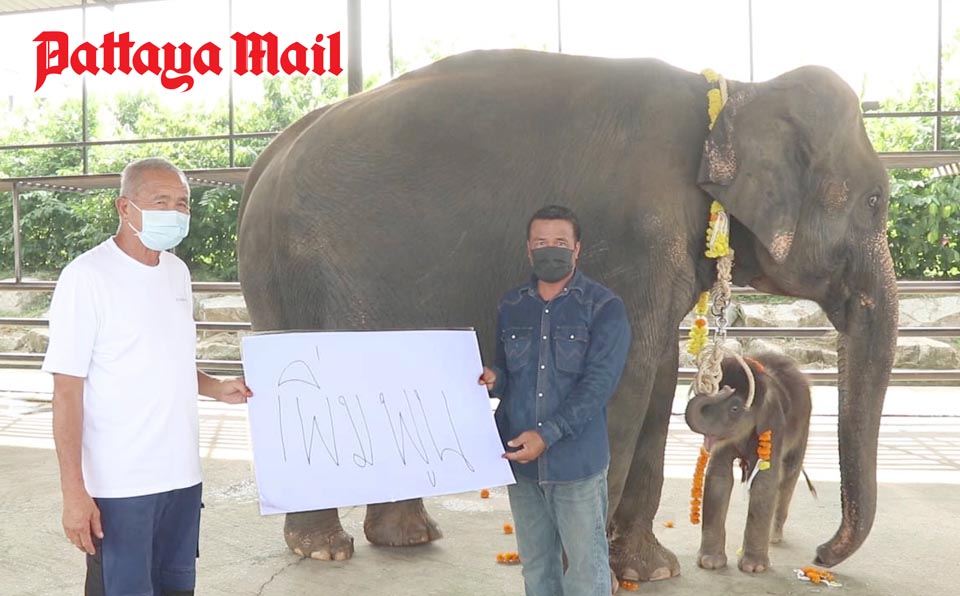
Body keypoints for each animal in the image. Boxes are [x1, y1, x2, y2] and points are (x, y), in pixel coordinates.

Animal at [684, 354, 808, 572]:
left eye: (735, 408)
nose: (724, 388)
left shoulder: (773, 423)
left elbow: (765, 480)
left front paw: (754, 567)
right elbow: (718, 477)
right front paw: (710, 562)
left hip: (803, 430)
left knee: (788, 477)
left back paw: (775, 537)